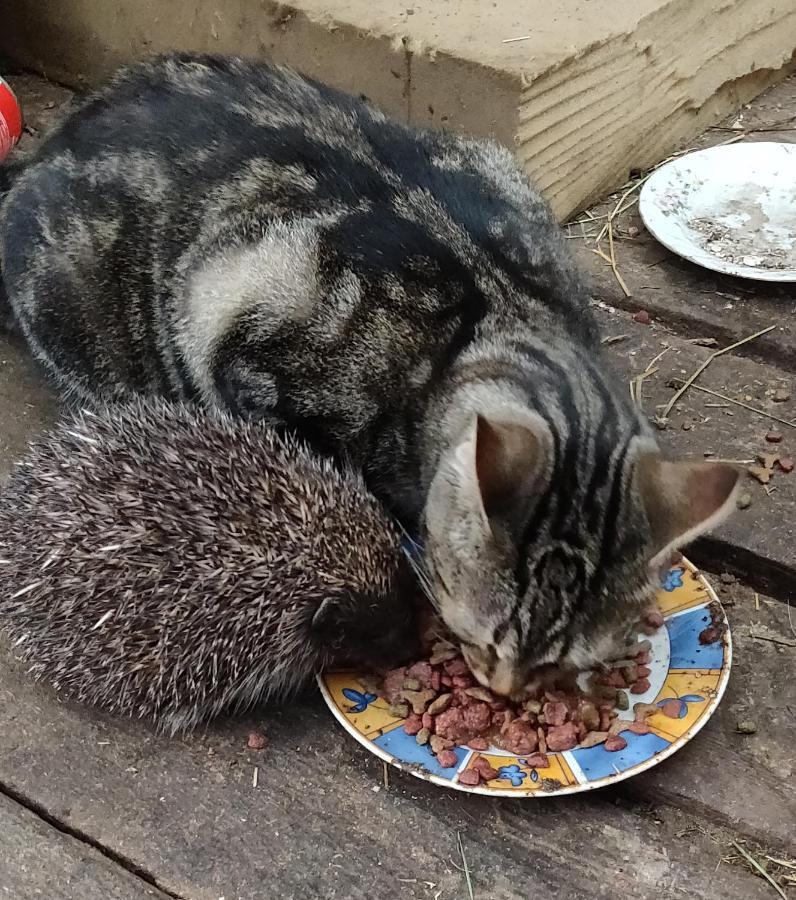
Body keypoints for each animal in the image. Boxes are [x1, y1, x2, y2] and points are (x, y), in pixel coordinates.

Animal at [0, 52, 740, 696]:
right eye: (485, 638)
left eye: (566, 664)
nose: (504, 691)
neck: (500, 313)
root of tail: (49, 144)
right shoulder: (253, 348)